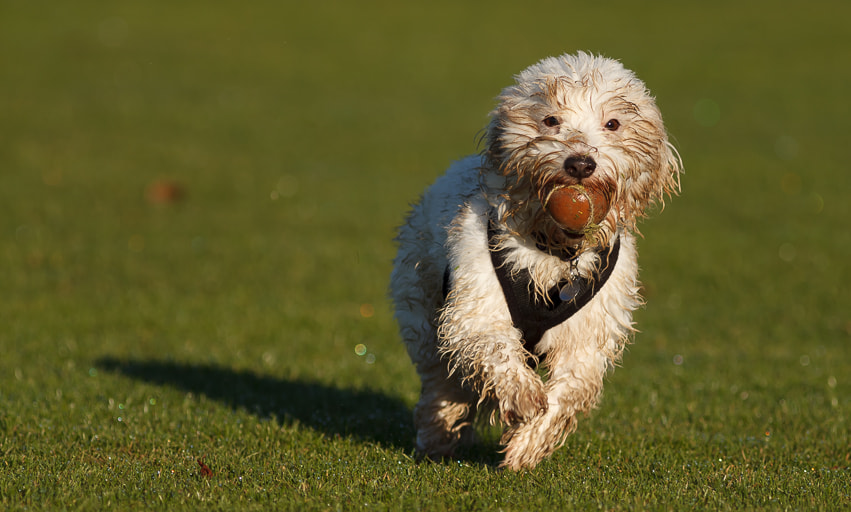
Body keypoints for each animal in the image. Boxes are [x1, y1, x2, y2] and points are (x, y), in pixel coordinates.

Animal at [390, 51, 684, 468]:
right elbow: (494, 347)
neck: (556, 249)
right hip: (421, 309)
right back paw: (438, 438)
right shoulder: (476, 306)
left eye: (613, 123)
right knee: (442, 385)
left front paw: (527, 444)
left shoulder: (587, 337)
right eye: (551, 120)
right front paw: (524, 396)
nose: (580, 164)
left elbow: (570, 391)